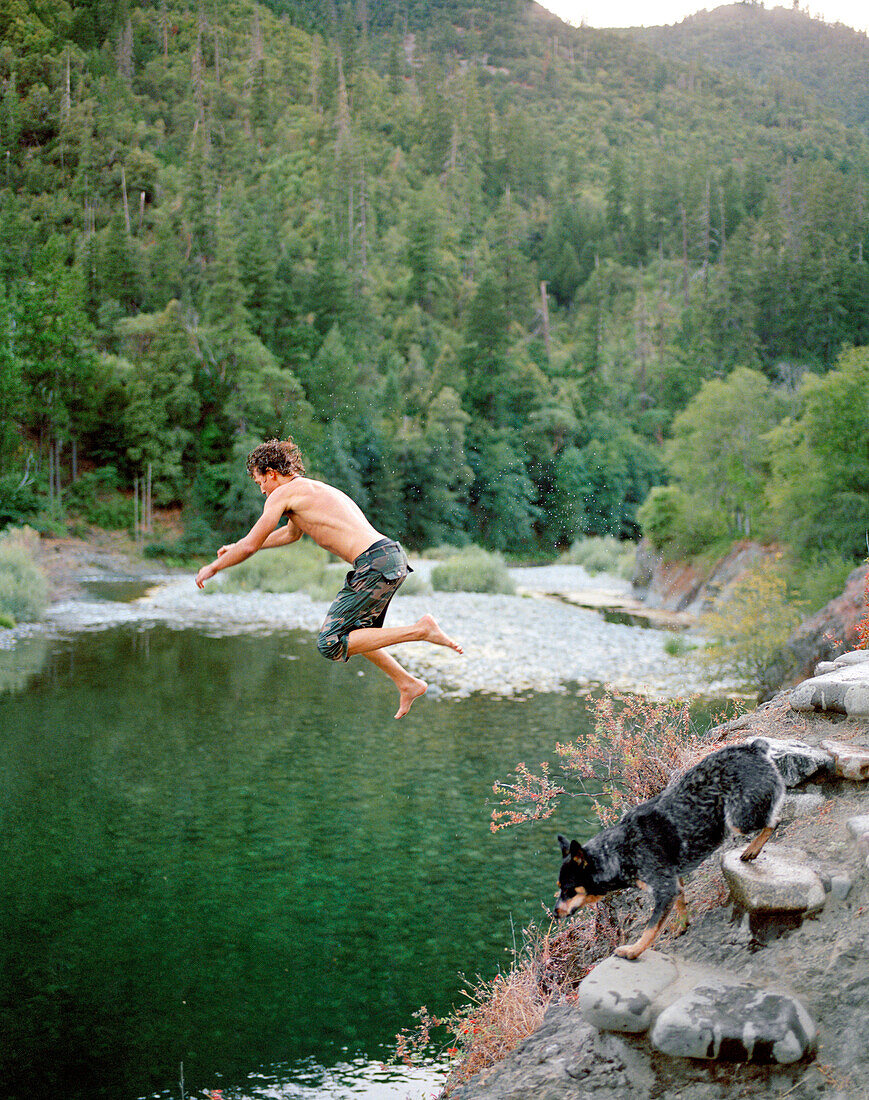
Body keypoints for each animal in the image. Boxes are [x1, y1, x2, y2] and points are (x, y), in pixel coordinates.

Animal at [558, 739, 787, 963]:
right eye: (560, 887)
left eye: (569, 890)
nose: (555, 913)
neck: (618, 851)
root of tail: (753, 748)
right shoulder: (675, 882)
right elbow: (681, 904)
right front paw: (682, 925)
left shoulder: (664, 889)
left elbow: (650, 929)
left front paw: (634, 951)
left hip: (739, 820)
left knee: (774, 821)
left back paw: (752, 849)